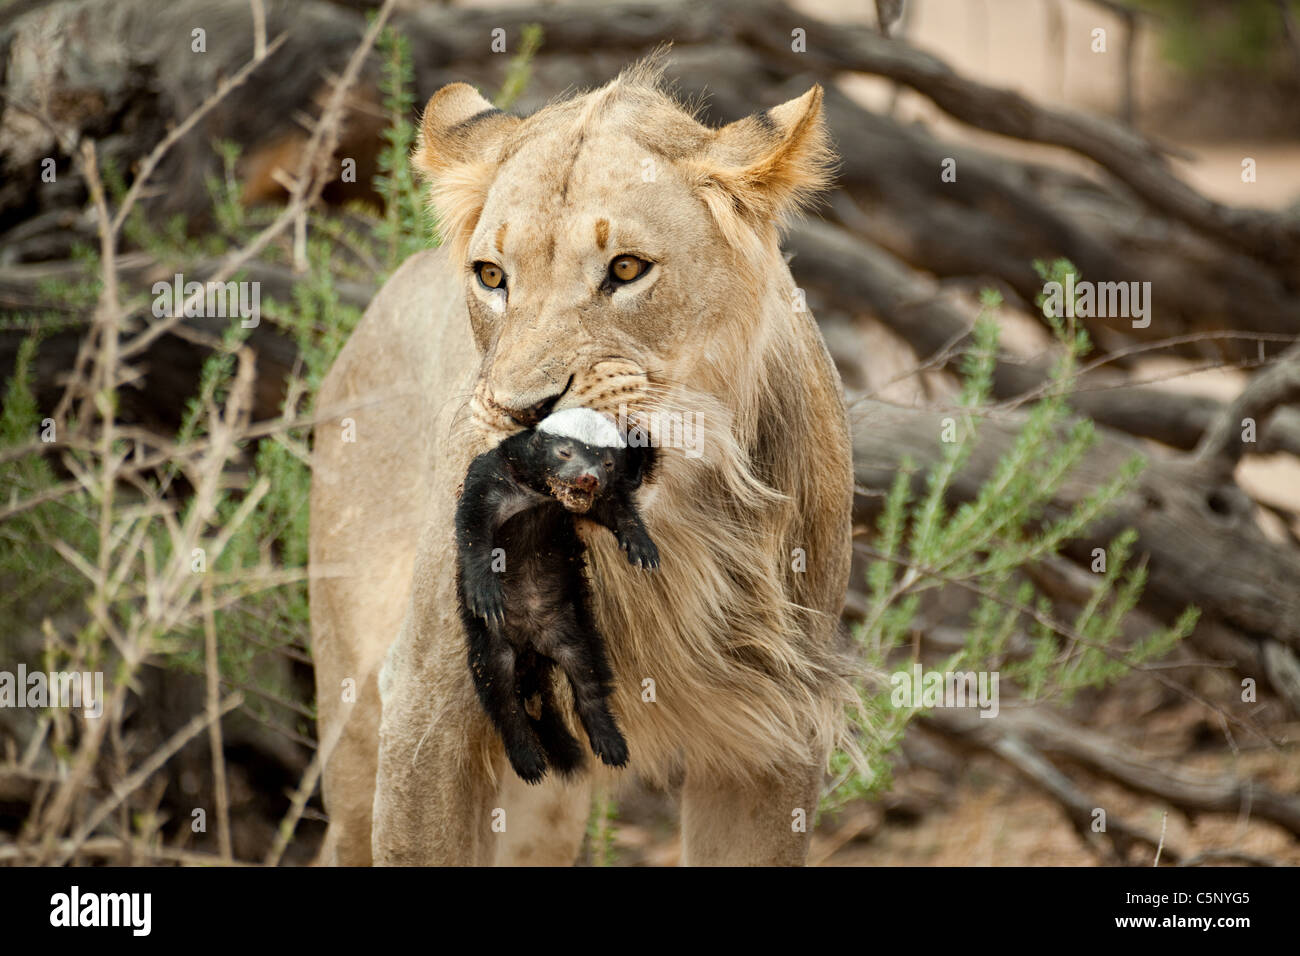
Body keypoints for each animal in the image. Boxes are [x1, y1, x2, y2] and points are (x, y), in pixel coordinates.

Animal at [308, 60, 858, 866]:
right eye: (492, 276)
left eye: (626, 268)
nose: (520, 409)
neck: (671, 531)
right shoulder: (426, 707)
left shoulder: (776, 733)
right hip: (353, 718)